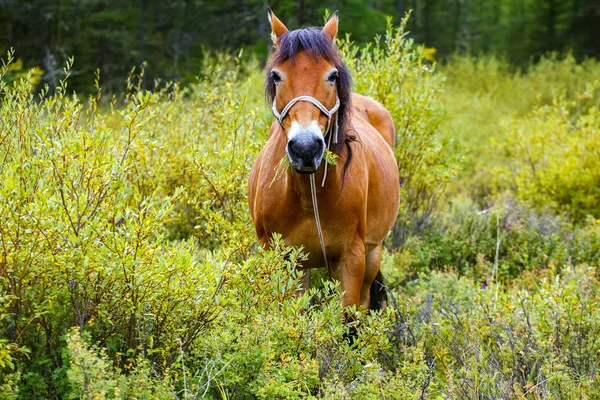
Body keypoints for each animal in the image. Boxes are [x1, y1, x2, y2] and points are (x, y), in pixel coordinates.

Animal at [248, 8, 398, 310]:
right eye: (276, 76)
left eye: (332, 75)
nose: (305, 148)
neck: (308, 196)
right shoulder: (278, 256)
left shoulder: (351, 259)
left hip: (373, 255)